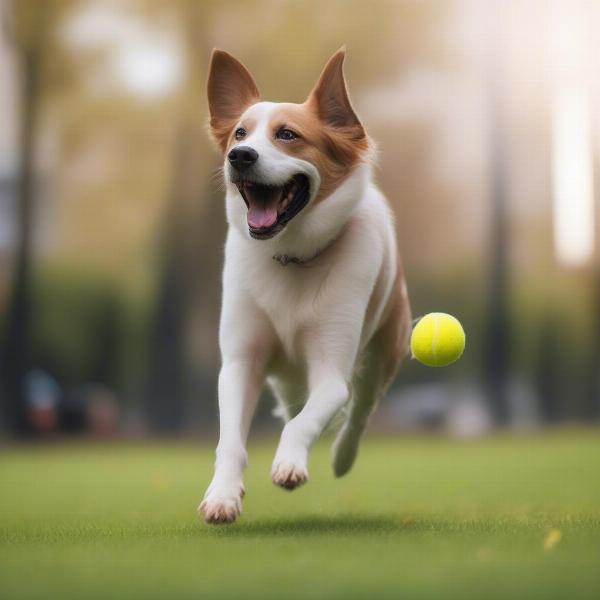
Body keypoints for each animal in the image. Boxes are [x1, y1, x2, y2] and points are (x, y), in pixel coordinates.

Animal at [199, 48, 410, 524]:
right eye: (239, 132)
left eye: (288, 135)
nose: (239, 156)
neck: (291, 256)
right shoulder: (240, 363)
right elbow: (230, 440)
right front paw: (223, 495)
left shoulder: (332, 371)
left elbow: (309, 419)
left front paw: (289, 464)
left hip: (383, 353)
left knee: (358, 412)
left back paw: (341, 456)